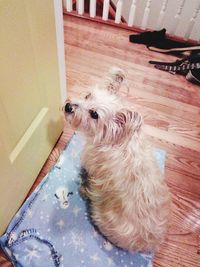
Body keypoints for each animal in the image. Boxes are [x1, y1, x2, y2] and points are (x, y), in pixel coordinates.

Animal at [64, 68, 170, 252]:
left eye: (94, 114)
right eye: (87, 96)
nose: (68, 106)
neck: (115, 139)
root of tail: (148, 243)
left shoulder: (92, 161)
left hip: (101, 214)